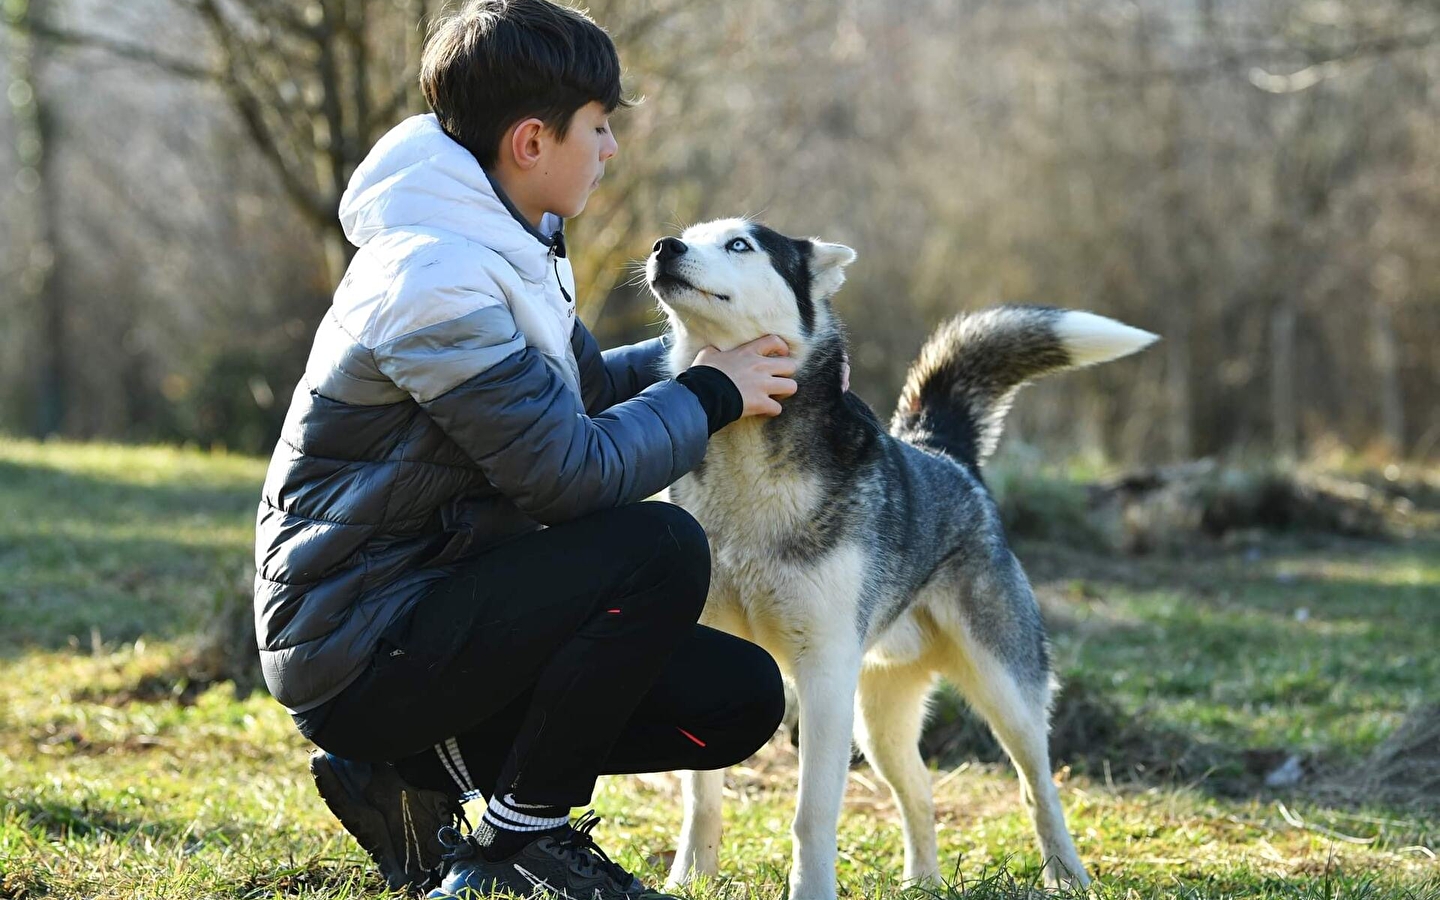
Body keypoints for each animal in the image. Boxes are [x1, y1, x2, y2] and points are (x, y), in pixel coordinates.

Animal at [648, 218, 1152, 898]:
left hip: (1005, 691)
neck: (745, 459)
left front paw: (810, 891)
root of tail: (944, 452)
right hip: (878, 719)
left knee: (1038, 789)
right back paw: (923, 880)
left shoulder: (824, 674)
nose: (663, 246)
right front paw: (688, 879)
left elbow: (812, 814)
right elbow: (701, 798)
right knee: (919, 790)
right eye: (690, 233)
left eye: (739, 245)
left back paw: (1066, 874)